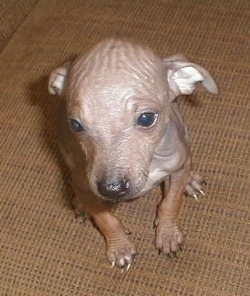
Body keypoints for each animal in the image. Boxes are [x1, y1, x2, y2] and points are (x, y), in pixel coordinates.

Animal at [48, 38, 217, 270]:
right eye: (75, 125)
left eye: (146, 118)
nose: (111, 189)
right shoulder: (87, 182)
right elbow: (105, 219)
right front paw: (119, 247)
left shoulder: (176, 169)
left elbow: (170, 203)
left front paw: (167, 234)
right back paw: (81, 204)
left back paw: (191, 180)